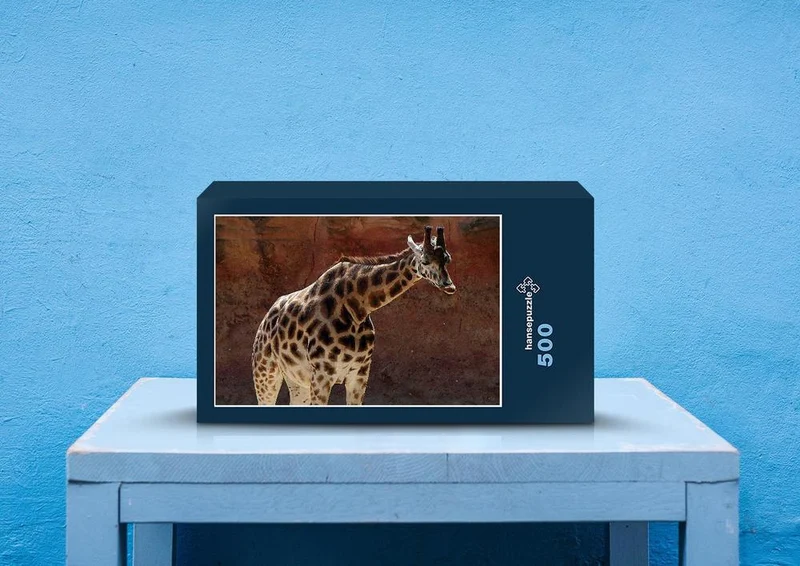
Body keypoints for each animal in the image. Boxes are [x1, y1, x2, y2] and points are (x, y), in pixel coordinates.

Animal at [252, 225, 456, 406]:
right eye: (425, 261)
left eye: (447, 259)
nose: (449, 286)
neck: (357, 308)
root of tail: (264, 321)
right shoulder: (322, 374)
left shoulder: (359, 373)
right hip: (265, 372)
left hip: (297, 381)